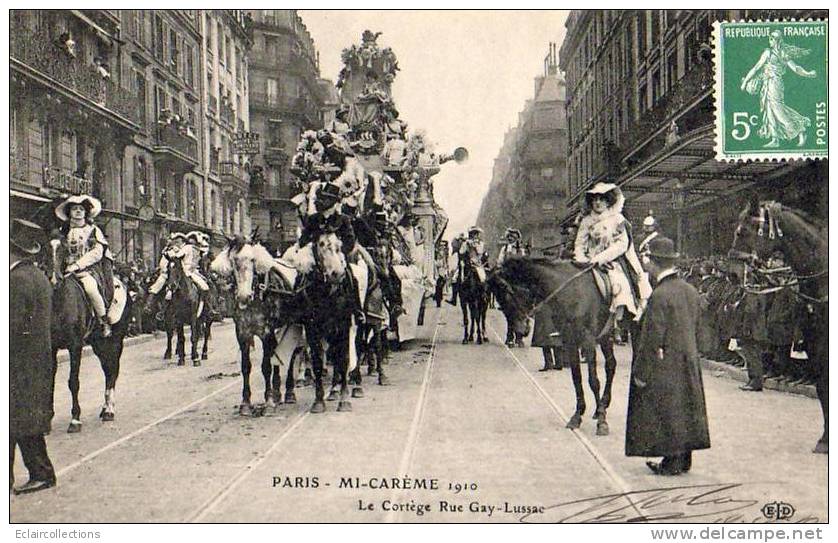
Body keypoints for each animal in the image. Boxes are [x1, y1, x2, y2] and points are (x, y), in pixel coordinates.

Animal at [48, 238, 131, 434]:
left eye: (64, 249)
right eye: (45, 248)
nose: (54, 279)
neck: (59, 303)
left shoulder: (75, 346)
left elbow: (73, 381)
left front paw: (75, 419)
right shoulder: (52, 348)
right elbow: (50, 381)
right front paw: (47, 419)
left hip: (115, 341)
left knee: (112, 370)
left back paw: (109, 410)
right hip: (98, 344)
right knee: (107, 369)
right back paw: (105, 407)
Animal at [488, 258, 620, 436]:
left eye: (508, 295)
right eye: (500, 300)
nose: (521, 330)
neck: (571, 291)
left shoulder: (588, 341)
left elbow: (593, 381)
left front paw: (602, 422)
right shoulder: (571, 341)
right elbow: (576, 379)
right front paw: (577, 416)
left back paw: (601, 409)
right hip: (605, 336)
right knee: (611, 365)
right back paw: (603, 404)